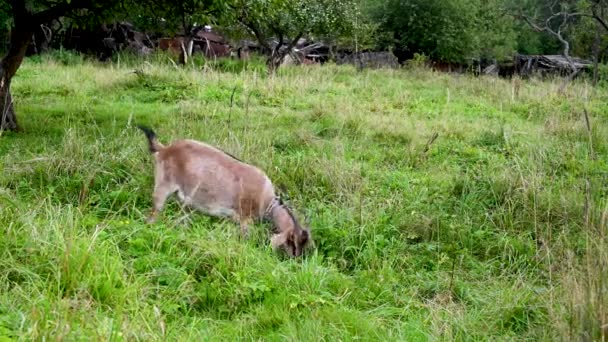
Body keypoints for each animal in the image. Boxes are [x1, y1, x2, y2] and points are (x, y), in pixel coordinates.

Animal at [136, 125, 312, 256]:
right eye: (293, 244)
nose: (295, 261)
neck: (267, 200)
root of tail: (164, 149)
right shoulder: (245, 219)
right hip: (162, 187)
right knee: (152, 215)